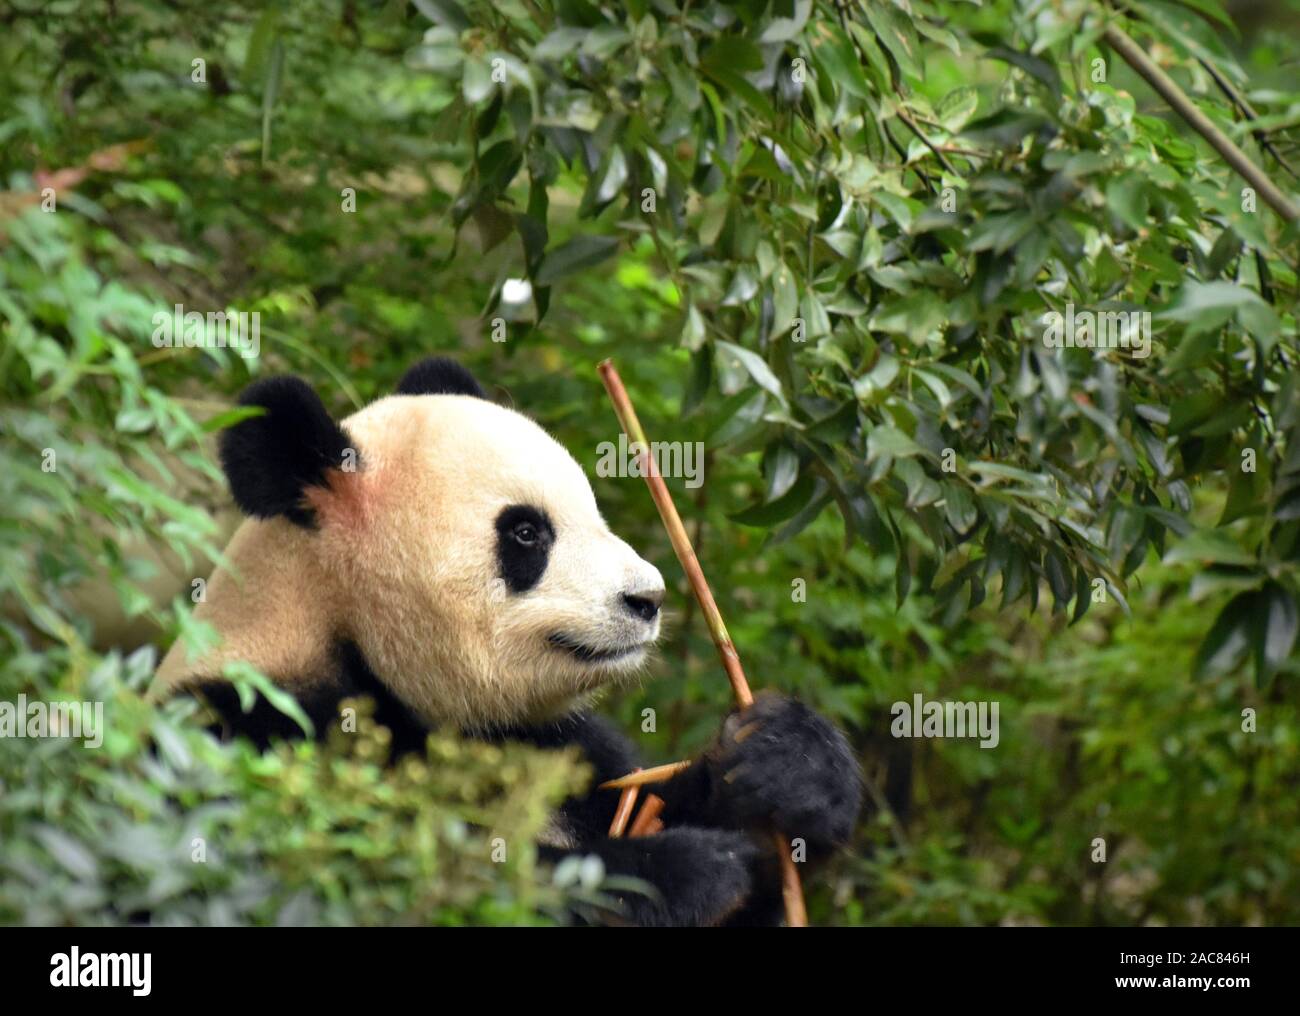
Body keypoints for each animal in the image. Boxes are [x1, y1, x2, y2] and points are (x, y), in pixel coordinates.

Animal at [154, 361, 863, 930]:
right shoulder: (245, 729)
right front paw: (677, 869)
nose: (649, 598)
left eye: (594, 511)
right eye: (527, 533)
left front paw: (787, 766)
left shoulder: (557, 746)